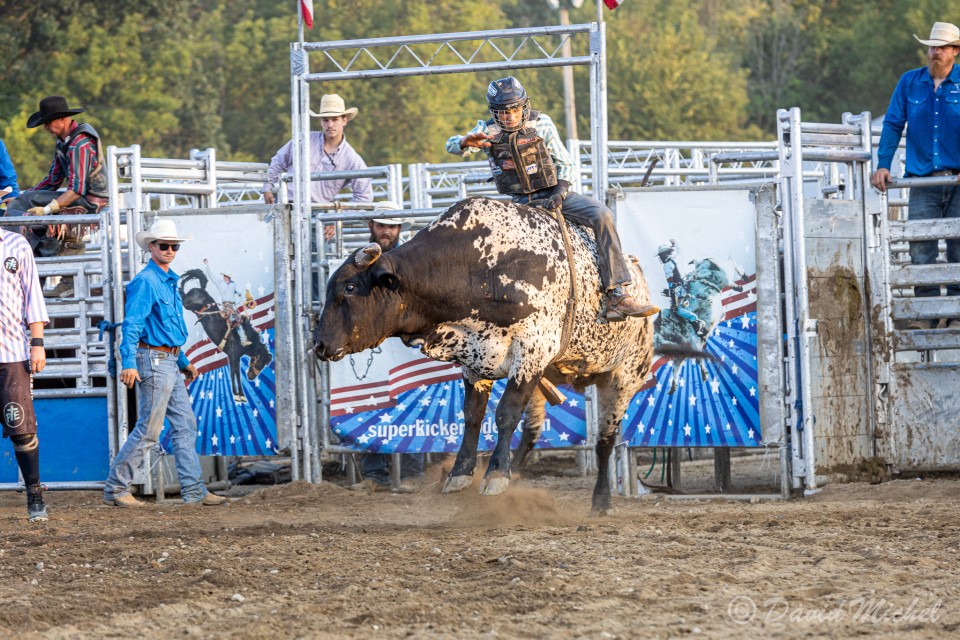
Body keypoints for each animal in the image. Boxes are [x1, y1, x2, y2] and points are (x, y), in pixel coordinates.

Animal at [314, 196, 655, 514]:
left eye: (349, 287)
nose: (318, 344)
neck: (481, 265)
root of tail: (639, 279)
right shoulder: (475, 357)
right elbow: (473, 414)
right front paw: (462, 474)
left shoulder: (530, 353)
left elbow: (506, 414)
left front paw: (495, 476)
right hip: (546, 379)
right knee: (532, 432)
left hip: (624, 377)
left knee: (605, 440)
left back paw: (601, 501)